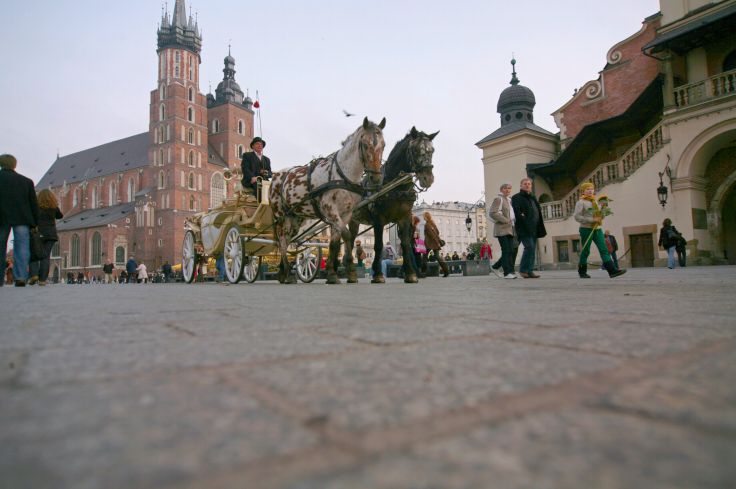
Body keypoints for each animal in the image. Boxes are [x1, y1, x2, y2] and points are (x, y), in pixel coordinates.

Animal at [268, 117, 386, 282]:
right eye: (365, 144)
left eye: (383, 145)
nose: (376, 178)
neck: (342, 175)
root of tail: (276, 176)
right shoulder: (330, 210)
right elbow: (347, 235)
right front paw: (347, 270)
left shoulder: (345, 213)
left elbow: (335, 242)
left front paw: (334, 272)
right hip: (281, 216)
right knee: (283, 241)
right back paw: (287, 273)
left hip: (295, 218)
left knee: (288, 239)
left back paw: (282, 272)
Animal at [350, 127, 436, 282]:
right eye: (415, 150)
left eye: (432, 150)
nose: (428, 178)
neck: (395, 186)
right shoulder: (378, 219)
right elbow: (378, 246)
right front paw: (378, 275)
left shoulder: (404, 217)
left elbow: (406, 244)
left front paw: (410, 274)